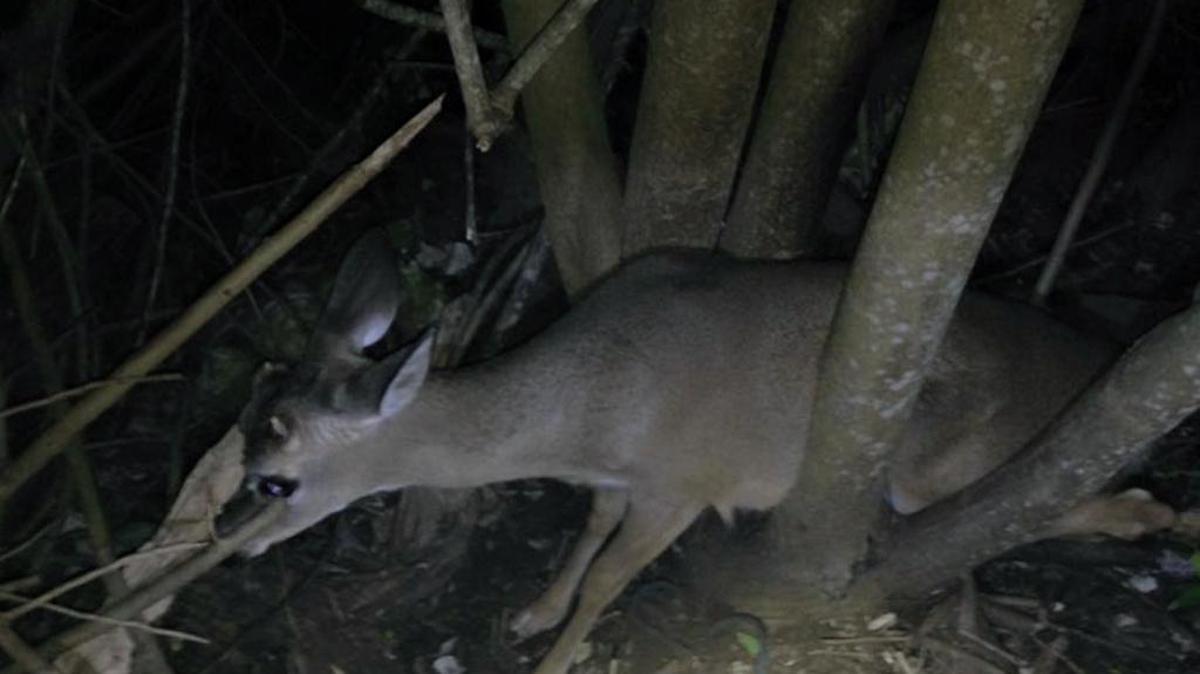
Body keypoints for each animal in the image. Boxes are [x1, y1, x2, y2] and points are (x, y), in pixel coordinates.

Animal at [231, 230, 1175, 674]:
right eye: (242, 444)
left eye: (274, 482)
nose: (229, 545)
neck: (587, 408)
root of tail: (1090, 352)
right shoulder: (617, 480)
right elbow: (589, 530)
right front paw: (535, 610)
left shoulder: (682, 484)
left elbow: (613, 578)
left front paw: (557, 654)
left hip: (928, 466)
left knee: (1064, 497)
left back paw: (1154, 512)